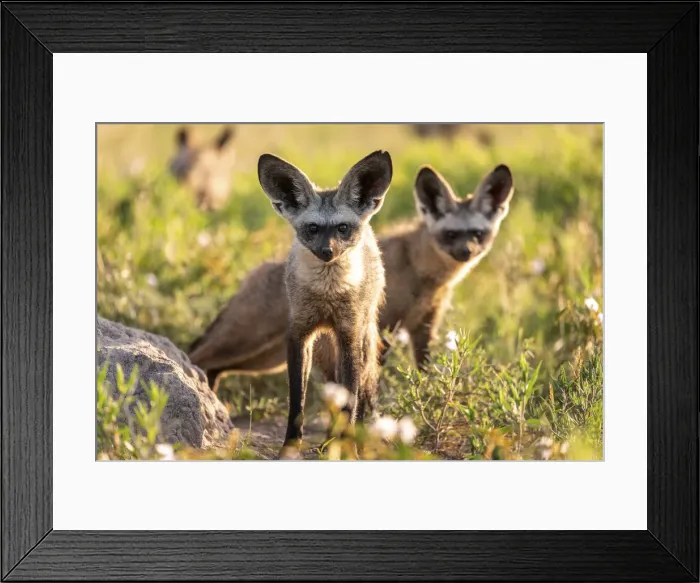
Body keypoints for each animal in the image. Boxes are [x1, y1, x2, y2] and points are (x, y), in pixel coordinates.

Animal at [188, 162, 514, 390]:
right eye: (451, 234)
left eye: (477, 234)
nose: (466, 252)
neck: (423, 275)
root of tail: (252, 273)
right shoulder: (383, 327)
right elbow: (374, 381)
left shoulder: (424, 327)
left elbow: (422, 373)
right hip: (247, 341)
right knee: (197, 355)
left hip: (267, 357)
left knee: (214, 367)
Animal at [256, 150, 392, 458]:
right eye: (313, 228)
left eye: (342, 228)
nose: (327, 252)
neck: (327, 295)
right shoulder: (299, 334)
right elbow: (297, 401)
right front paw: (290, 448)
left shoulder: (349, 337)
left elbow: (350, 403)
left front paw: (349, 449)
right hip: (325, 352)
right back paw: (328, 441)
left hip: (358, 338)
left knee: (359, 394)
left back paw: (345, 441)